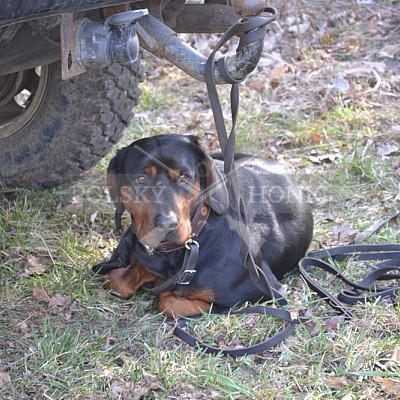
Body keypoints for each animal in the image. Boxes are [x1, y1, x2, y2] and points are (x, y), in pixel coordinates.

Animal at [92, 136, 314, 318]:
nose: (166, 224)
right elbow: (120, 280)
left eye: (184, 177)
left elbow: (169, 303)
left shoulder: (267, 292)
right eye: (141, 179)